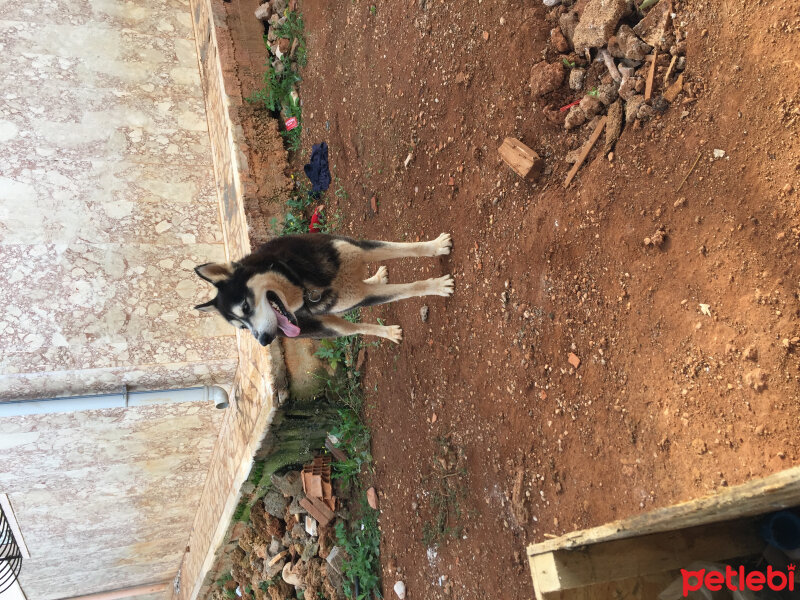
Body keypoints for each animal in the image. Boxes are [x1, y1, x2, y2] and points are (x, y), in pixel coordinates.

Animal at [195, 234, 454, 346]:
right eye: (241, 328)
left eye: (246, 307)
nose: (263, 340)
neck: (300, 279)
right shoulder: (362, 297)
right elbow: (409, 289)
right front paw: (437, 286)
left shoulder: (358, 250)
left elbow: (404, 248)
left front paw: (436, 245)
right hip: (330, 327)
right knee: (357, 329)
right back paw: (388, 332)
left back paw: (377, 277)